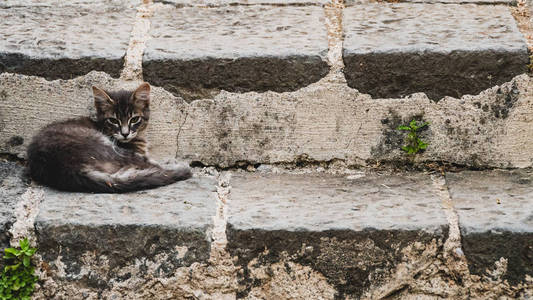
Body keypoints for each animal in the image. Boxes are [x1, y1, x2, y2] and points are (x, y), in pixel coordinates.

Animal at [26, 83, 191, 193]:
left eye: (134, 119)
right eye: (113, 120)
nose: (125, 133)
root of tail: (64, 168)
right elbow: (151, 161)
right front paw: (169, 161)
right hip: (106, 146)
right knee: (147, 166)